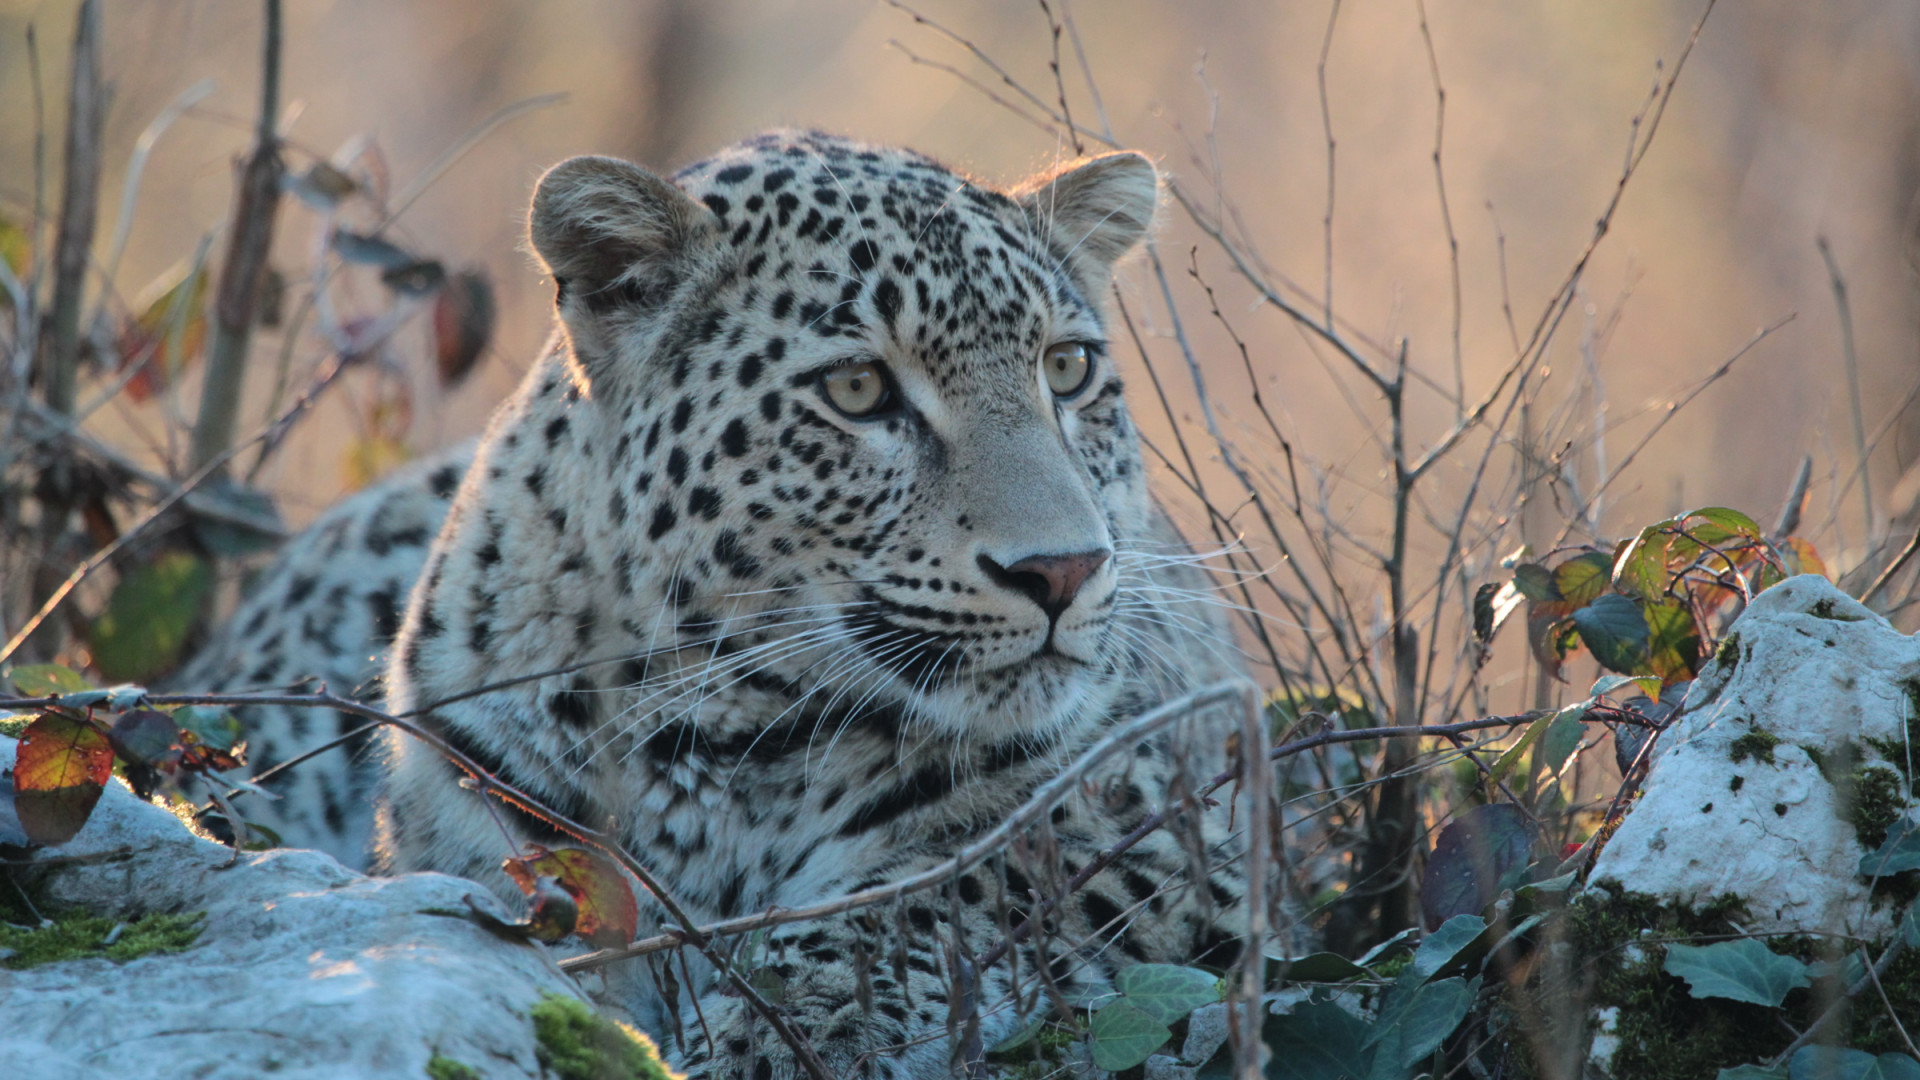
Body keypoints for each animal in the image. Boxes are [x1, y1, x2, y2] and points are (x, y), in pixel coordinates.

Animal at [180, 130, 1259, 1068]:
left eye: (1067, 370)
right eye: (859, 390)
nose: (1065, 570)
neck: (718, 735)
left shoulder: (1177, 829)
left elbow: (933, 889)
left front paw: (790, 1034)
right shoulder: (487, 813)